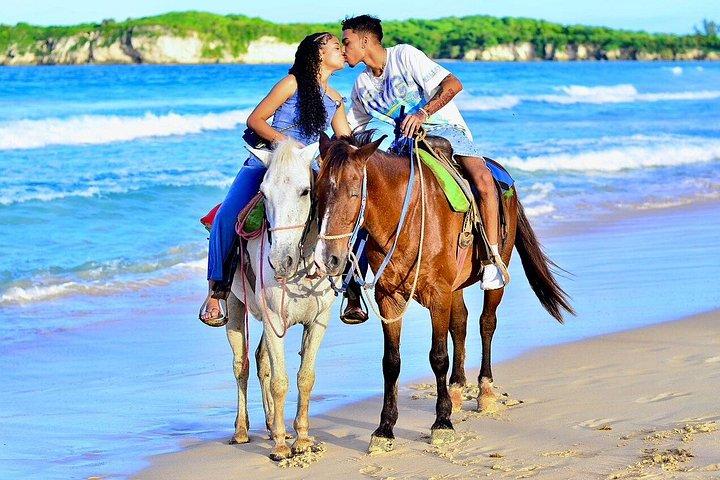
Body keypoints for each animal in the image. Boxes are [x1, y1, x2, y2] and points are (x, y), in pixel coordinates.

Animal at [224, 139, 336, 461]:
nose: (280, 261)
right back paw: (242, 431)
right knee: (242, 365)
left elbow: (305, 377)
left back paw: (276, 425)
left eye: (305, 191)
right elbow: (280, 381)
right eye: (264, 193)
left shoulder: (318, 321)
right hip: (235, 308)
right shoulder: (274, 320)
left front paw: (301, 439)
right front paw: (280, 448)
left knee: (260, 359)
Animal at [313, 131, 574, 452]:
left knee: (487, 323)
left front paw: (442, 423)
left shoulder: (438, 294)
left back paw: (485, 391)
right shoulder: (389, 298)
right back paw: (457, 389)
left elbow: (438, 356)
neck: (407, 216)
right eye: (317, 191)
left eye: (353, 192)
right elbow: (391, 362)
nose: (328, 258)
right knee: (460, 323)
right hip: (455, 287)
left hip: (494, 272)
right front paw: (385, 428)